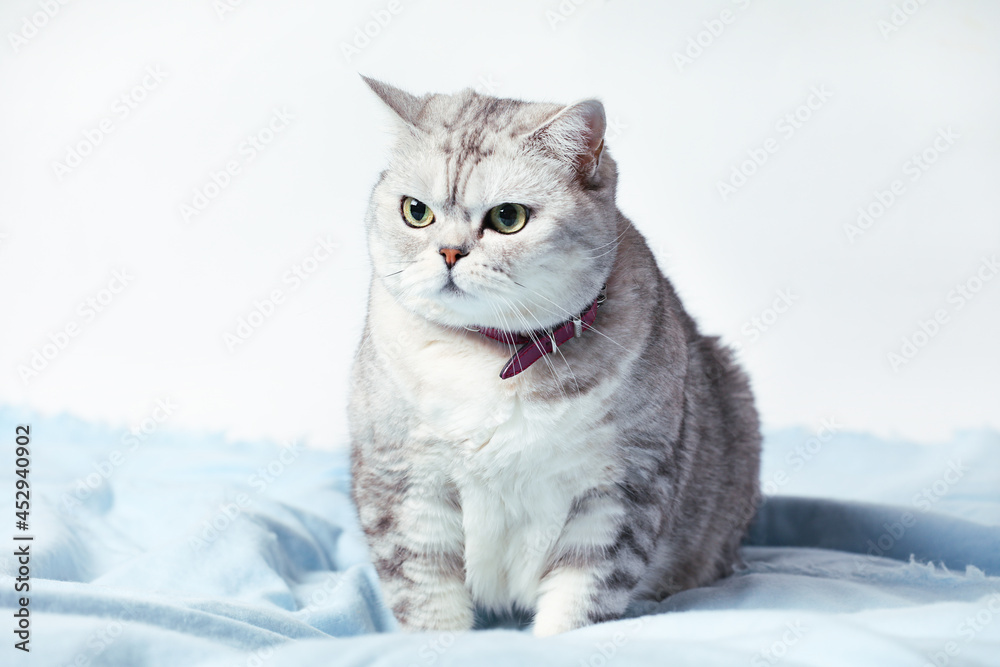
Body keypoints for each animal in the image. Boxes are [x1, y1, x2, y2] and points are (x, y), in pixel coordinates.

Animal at [348, 77, 760, 636]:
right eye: (416, 211)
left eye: (508, 218)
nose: (449, 253)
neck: (492, 356)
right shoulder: (401, 482)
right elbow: (425, 594)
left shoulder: (621, 488)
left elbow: (581, 596)